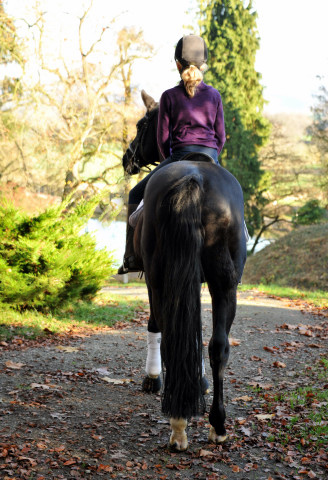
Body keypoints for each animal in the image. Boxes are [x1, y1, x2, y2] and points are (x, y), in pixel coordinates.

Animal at [122, 92, 246, 452]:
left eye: (142, 125)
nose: (126, 159)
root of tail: (195, 179)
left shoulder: (153, 280)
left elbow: (156, 326)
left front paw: (152, 379)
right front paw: (199, 382)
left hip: (160, 276)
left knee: (167, 336)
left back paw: (178, 425)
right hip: (225, 282)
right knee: (219, 346)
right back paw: (217, 425)